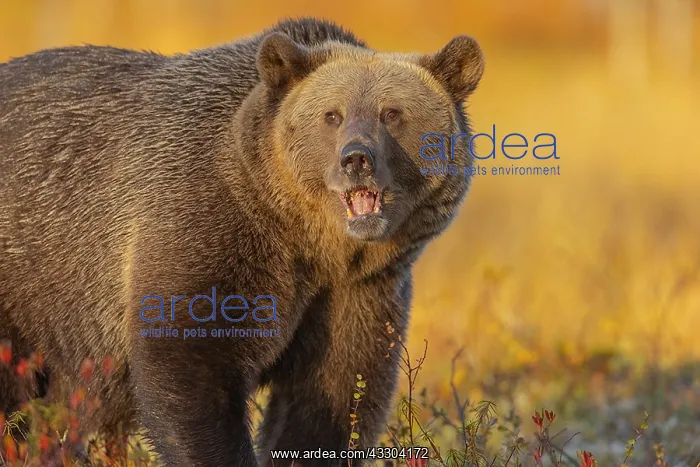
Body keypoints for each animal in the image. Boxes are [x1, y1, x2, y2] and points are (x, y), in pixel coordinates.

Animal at [0, 16, 484, 467]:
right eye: (332, 114)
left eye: (392, 113)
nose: (356, 159)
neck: (308, 240)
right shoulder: (205, 226)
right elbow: (191, 365)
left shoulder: (360, 290)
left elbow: (336, 393)